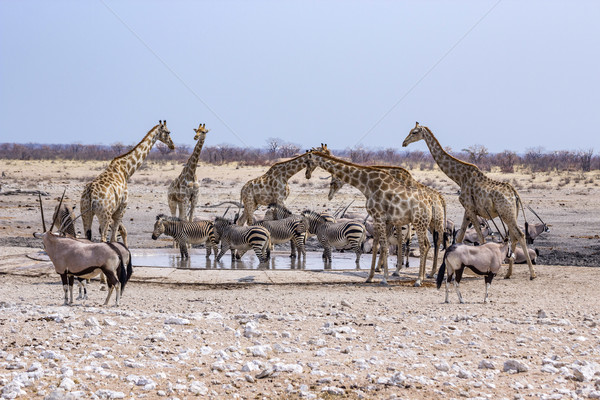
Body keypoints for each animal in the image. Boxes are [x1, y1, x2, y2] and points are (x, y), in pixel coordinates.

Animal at [79, 119, 175, 247]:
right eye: (168, 132)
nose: (172, 145)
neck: (126, 170)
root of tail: (90, 193)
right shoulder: (121, 208)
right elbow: (114, 238)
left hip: (85, 213)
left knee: (87, 236)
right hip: (104, 214)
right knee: (103, 238)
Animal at [302, 152, 434, 286]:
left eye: (308, 161)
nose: (307, 175)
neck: (367, 184)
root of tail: (428, 202)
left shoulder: (380, 218)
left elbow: (384, 246)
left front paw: (384, 277)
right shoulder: (378, 219)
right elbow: (377, 246)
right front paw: (370, 277)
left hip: (419, 223)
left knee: (422, 246)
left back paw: (419, 279)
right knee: (425, 245)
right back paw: (423, 276)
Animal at [404, 123, 536, 280]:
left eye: (414, 132)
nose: (404, 143)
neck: (460, 177)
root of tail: (515, 194)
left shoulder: (470, 209)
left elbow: (480, 237)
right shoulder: (468, 210)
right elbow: (460, 236)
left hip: (506, 213)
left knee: (520, 235)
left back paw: (532, 274)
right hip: (511, 214)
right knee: (514, 237)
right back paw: (508, 274)